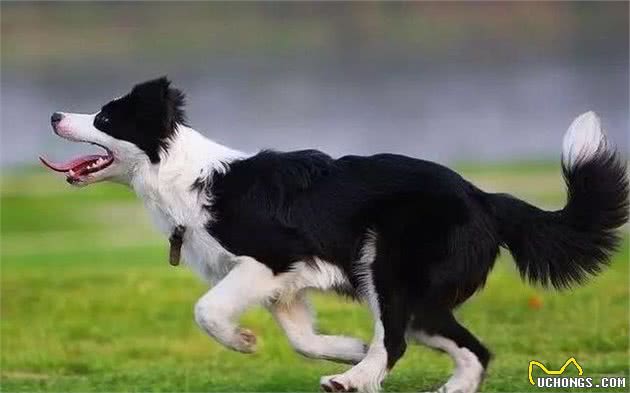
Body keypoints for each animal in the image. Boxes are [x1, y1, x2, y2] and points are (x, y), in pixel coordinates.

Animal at [42, 77, 628, 392]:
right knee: (470, 348)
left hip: (387, 269)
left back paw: (357, 380)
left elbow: (206, 310)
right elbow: (302, 338)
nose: (52, 114)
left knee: (397, 339)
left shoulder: (272, 257)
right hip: (417, 298)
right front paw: (345, 348)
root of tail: (485, 197)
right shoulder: (282, 284)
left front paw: (243, 341)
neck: (180, 176)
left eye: (105, 118)